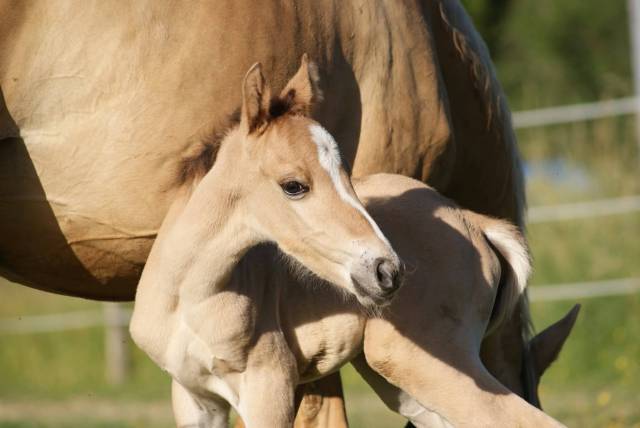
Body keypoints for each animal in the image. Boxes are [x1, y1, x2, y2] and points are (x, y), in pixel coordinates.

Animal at [130, 59, 563, 428]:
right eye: (294, 185)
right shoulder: (194, 398)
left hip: (426, 362)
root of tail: (472, 221)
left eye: (346, 172)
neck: (188, 295)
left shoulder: (268, 384)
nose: (387, 271)